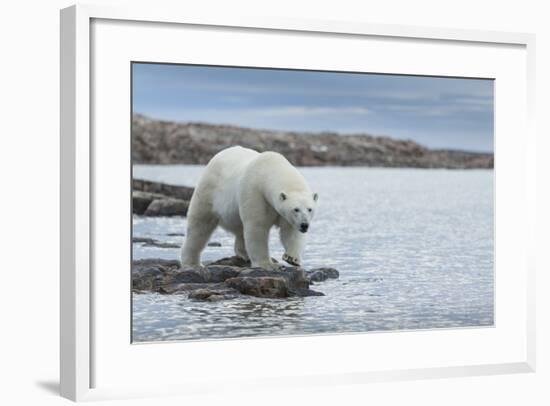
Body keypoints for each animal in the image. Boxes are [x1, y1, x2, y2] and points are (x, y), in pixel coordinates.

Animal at [181, 146, 320, 270]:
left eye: (309, 209)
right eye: (296, 209)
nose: (304, 225)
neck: (270, 169)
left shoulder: (285, 215)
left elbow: (291, 231)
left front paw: (292, 258)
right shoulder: (254, 192)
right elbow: (257, 227)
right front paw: (267, 264)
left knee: (240, 229)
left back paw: (244, 254)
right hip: (209, 189)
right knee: (199, 225)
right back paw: (192, 263)